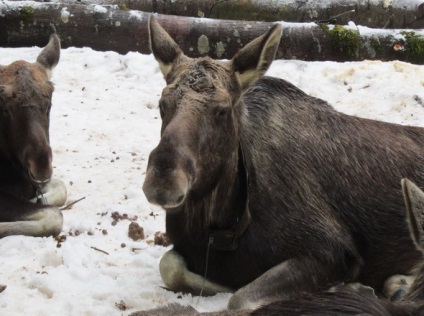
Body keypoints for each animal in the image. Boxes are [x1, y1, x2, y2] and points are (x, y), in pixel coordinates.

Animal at [142, 16, 424, 308]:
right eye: (162, 103)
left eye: (222, 110)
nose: (163, 180)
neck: (221, 222)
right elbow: (170, 265)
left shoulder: (334, 250)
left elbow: (239, 299)